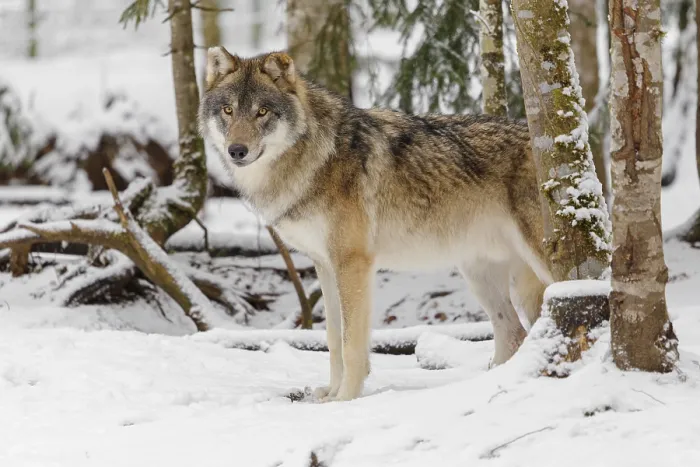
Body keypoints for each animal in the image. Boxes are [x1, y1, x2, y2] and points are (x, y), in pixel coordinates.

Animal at [199, 47, 554, 402]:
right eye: (228, 111)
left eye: (262, 112)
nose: (237, 151)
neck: (316, 157)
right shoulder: (325, 266)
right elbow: (333, 339)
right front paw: (329, 396)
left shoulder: (353, 264)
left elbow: (351, 344)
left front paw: (345, 400)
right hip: (480, 277)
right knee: (514, 333)